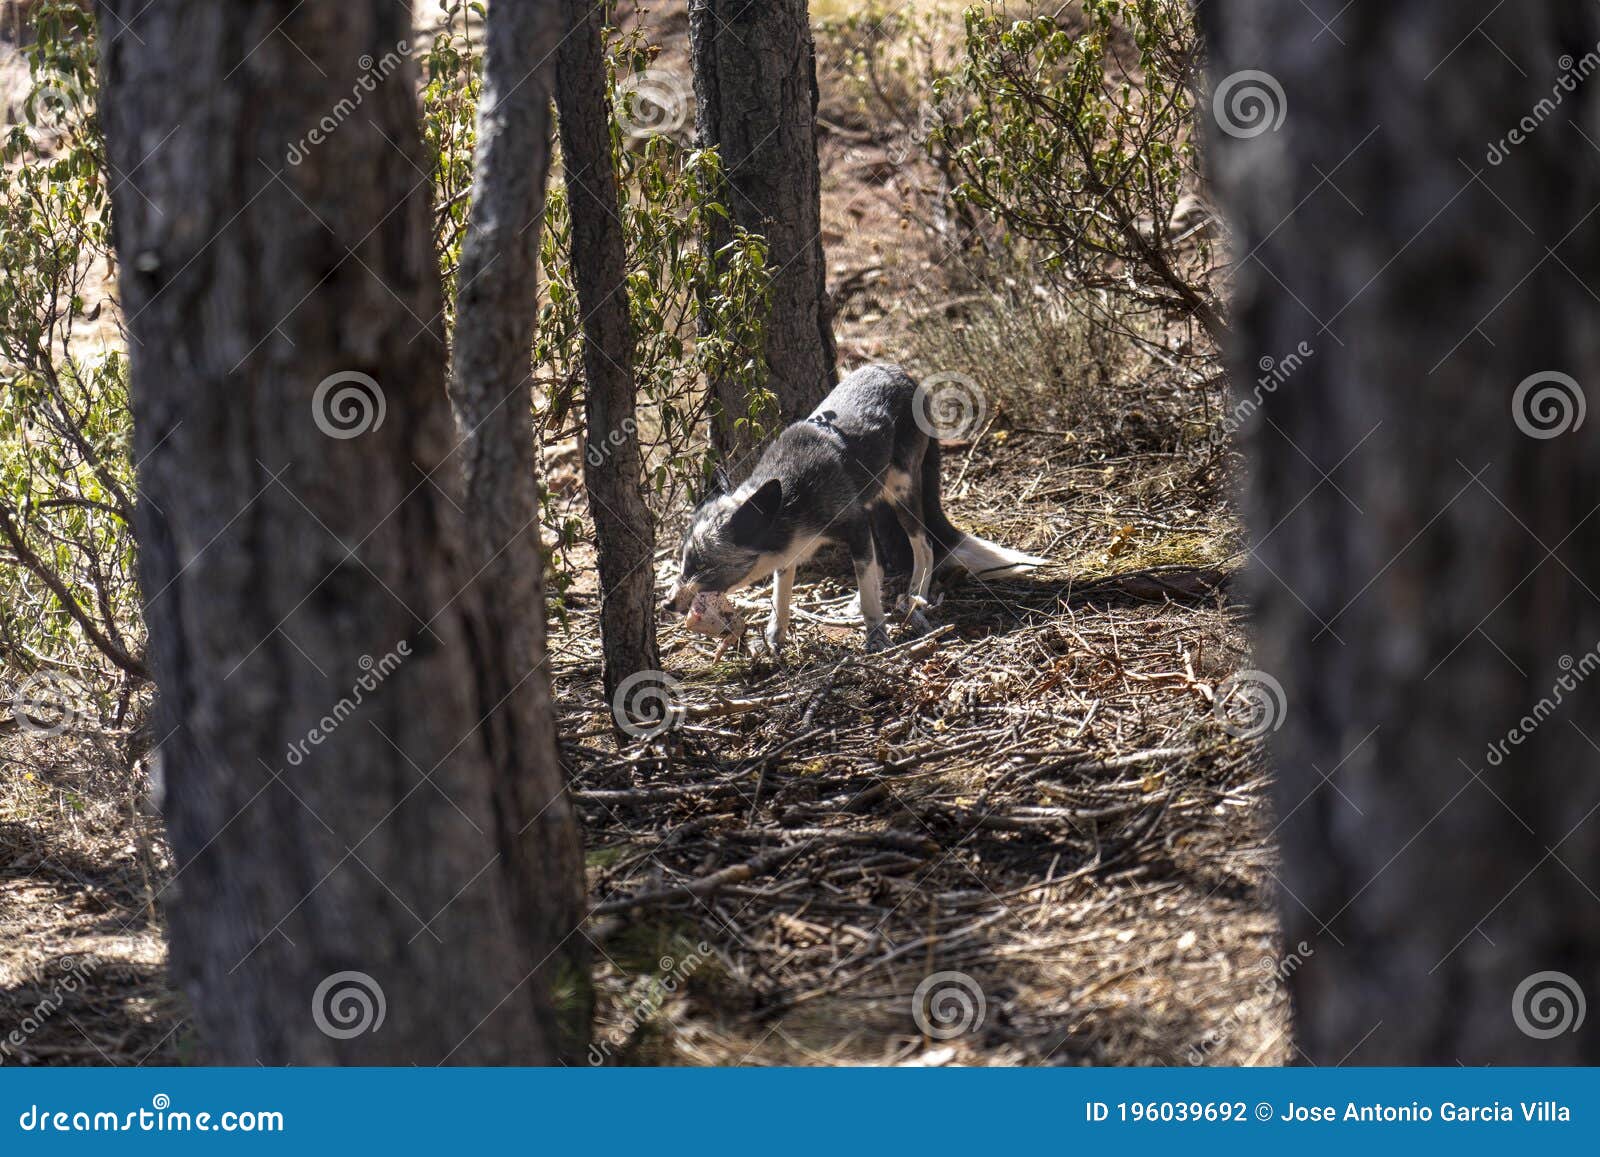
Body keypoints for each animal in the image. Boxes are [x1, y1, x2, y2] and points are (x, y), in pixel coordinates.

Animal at [662, 363, 1047, 653]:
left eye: (702, 565)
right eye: (683, 562)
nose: (667, 605)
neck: (794, 489)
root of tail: (902, 373)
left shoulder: (855, 527)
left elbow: (867, 596)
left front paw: (876, 636)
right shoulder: (793, 550)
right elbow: (780, 598)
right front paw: (775, 638)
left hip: (901, 495)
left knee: (924, 546)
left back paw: (916, 598)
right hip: (874, 501)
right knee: (885, 560)